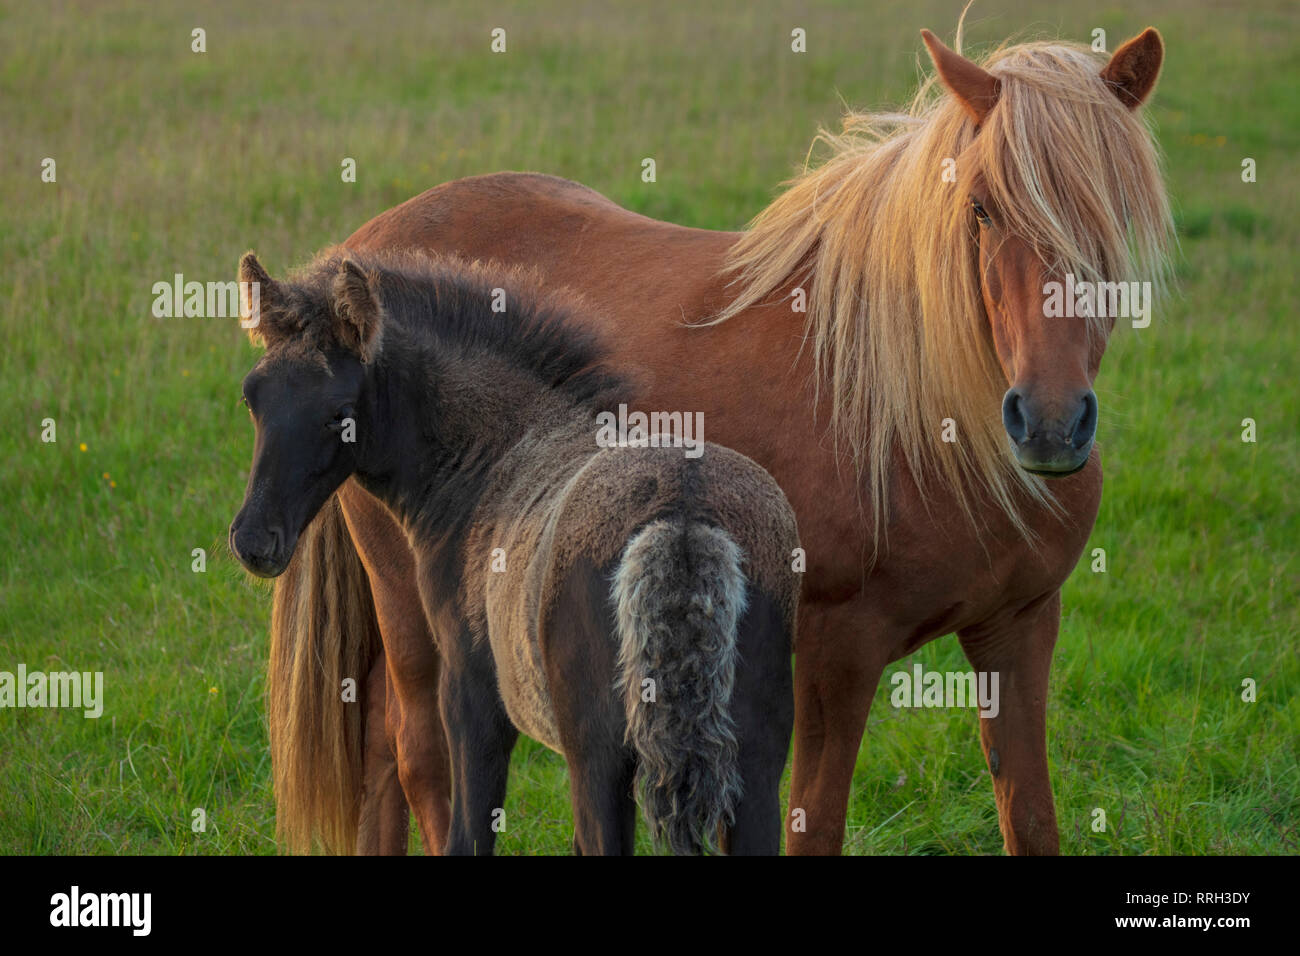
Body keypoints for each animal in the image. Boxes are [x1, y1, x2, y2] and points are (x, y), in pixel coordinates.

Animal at [261, 26, 1170, 858]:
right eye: (980, 208)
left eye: (1116, 212)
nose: (1048, 421)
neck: (928, 422)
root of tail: (360, 250)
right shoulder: (837, 657)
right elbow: (813, 828)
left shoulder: (1018, 630)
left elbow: (1031, 819)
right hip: (415, 613)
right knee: (420, 762)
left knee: (380, 762)